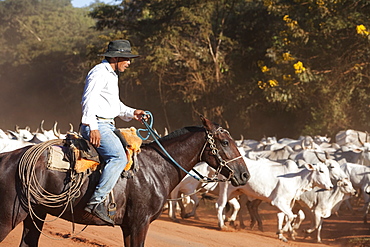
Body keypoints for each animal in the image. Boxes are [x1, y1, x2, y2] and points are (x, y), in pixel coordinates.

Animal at [0, 116, 250, 247]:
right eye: (225, 142)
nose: (245, 175)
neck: (156, 167)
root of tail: (7, 158)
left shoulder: (129, 226)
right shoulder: (140, 223)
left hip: (35, 215)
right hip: (9, 217)